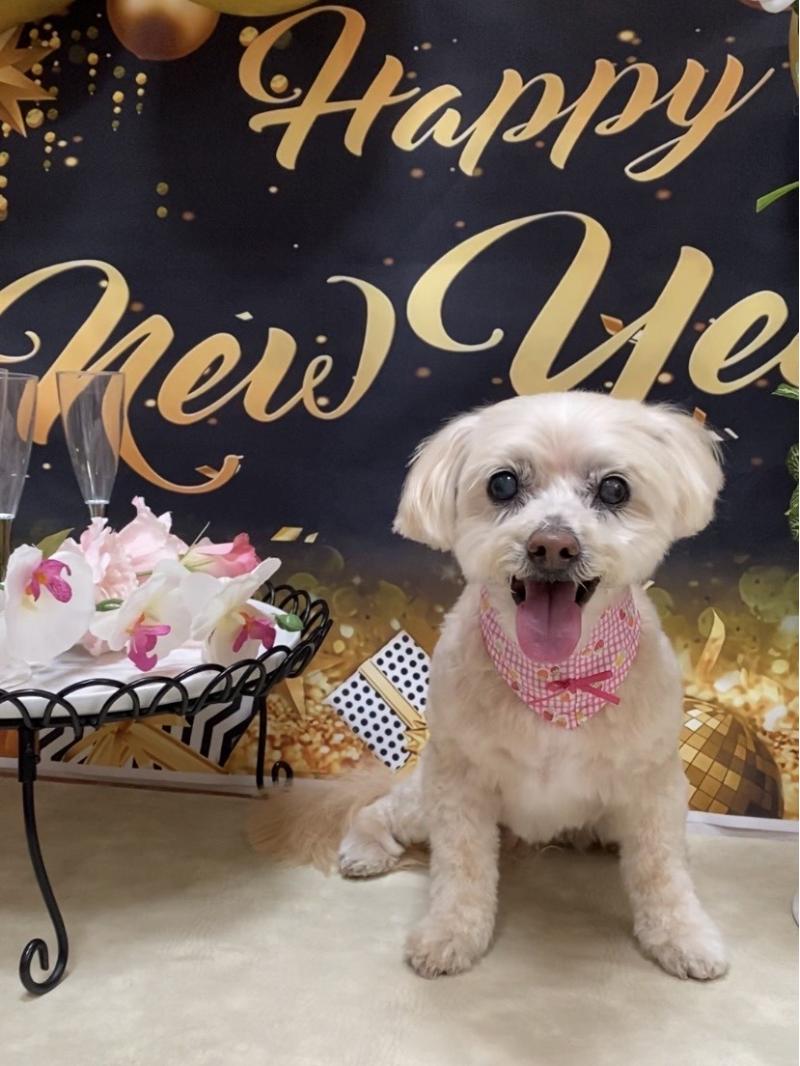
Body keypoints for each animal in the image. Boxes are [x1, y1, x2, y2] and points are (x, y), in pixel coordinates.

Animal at [251, 391, 728, 982]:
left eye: (615, 489)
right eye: (502, 484)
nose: (553, 546)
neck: (556, 682)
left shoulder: (652, 786)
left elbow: (663, 871)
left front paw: (684, 936)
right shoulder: (460, 784)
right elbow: (462, 869)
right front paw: (451, 934)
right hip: (425, 795)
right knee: (379, 808)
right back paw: (366, 849)